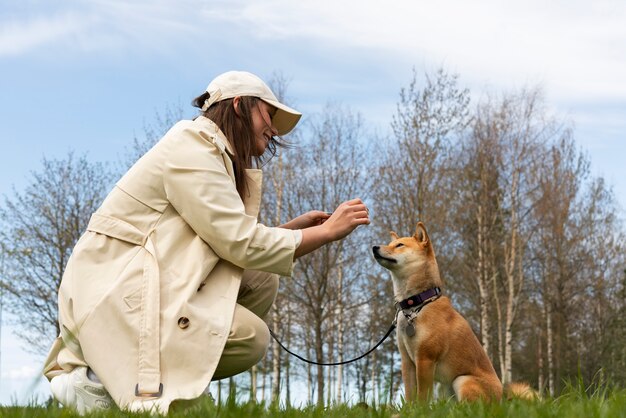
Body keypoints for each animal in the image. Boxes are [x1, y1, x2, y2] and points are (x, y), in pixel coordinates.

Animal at [370, 222, 532, 402]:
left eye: (399, 245)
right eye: (390, 243)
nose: (374, 247)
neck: (417, 304)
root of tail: (502, 398)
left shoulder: (425, 359)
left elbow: (423, 396)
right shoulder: (407, 361)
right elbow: (410, 395)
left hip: (462, 380)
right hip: (445, 386)